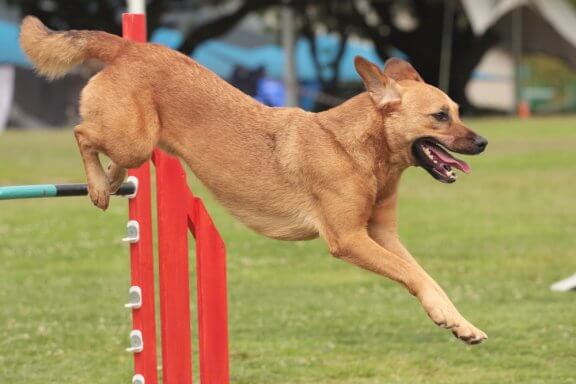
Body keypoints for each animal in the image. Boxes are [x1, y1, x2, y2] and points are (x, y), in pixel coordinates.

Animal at [22, 15, 488, 344]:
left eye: (457, 110)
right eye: (440, 116)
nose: (483, 142)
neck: (356, 148)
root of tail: (129, 47)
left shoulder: (382, 233)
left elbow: (423, 275)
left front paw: (459, 322)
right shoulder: (350, 239)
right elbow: (410, 273)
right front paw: (449, 318)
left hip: (138, 143)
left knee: (113, 159)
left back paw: (109, 181)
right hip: (131, 139)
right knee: (82, 133)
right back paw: (98, 187)